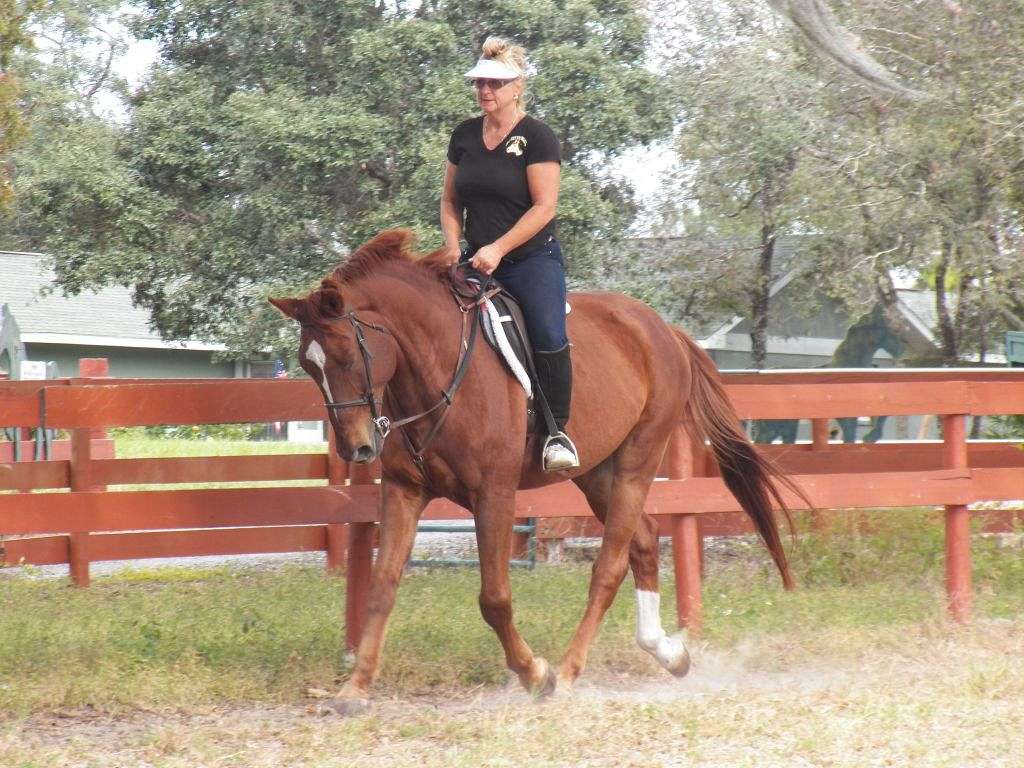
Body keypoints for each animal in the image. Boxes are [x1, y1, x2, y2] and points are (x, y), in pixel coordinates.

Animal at [270, 229, 801, 715]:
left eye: (345, 354)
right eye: (307, 365)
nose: (356, 447)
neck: (436, 369)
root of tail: (661, 328)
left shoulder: (494, 494)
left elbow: (494, 598)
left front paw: (534, 673)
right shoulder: (405, 490)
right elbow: (381, 587)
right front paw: (355, 688)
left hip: (638, 459)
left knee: (610, 565)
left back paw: (567, 672)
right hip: (596, 473)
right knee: (645, 541)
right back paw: (669, 653)